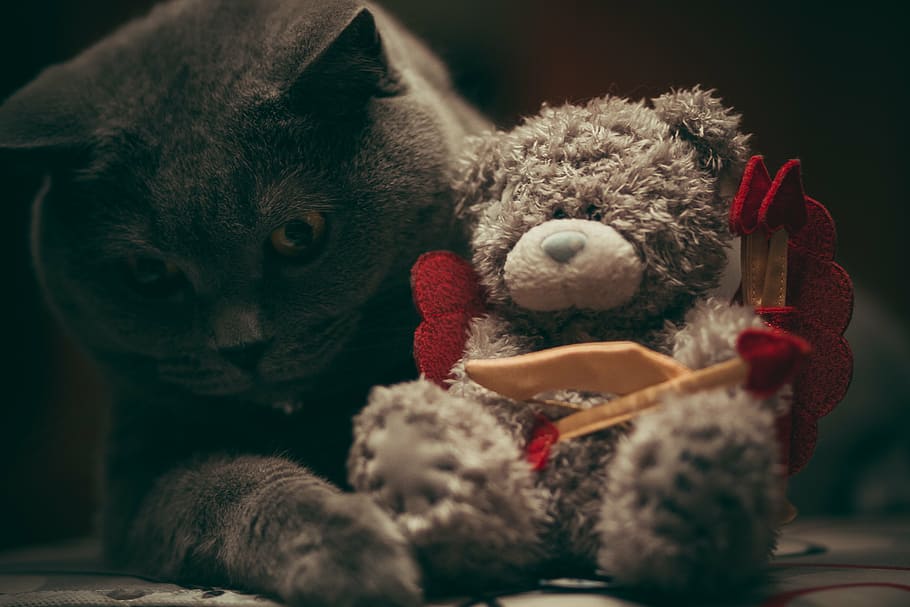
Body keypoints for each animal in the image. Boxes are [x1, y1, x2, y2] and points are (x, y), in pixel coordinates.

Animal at [0, 1, 488, 607]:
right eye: (150, 273)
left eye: (297, 233)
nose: (242, 347)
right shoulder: (133, 481)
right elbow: (224, 488)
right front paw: (351, 553)